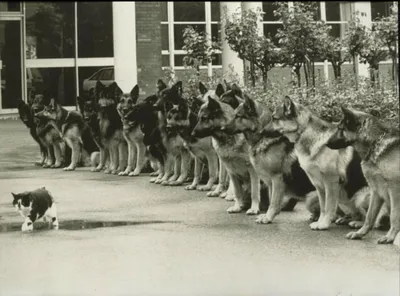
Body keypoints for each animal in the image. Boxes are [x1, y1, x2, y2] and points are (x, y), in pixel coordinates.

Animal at [192, 83, 264, 215]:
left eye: (204, 118)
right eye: (199, 118)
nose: (192, 134)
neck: (227, 137)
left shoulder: (253, 171)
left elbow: (255, 191)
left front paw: (254, 208)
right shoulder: (230, 170)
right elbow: (236, 191)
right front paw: (237, 206)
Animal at [222, 93, 316, 223]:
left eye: (238, 116)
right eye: (233, 115)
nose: (221, 128)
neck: (261, 138)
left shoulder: (277, 179)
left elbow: (273, 202)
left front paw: (267, 217)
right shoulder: (270, 181)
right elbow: (271, 200)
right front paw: (267, 215)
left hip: (311, 197)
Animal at [266, 96, 368, 230]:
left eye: (274, 118)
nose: (260, 131)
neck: (304, 131)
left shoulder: (331, 182)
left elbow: (329, 206)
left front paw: (324, 224)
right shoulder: (320, 186)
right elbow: (323, 208)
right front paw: (320, 222)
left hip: (360, 197)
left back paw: (359, 224)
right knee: (355, 214)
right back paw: (346, 219)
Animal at [326, 107, 398, 244]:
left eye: (340, 129)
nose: (325, 144)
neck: (375, 144)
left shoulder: (394, 190)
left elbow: (394, 216)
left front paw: (390, 237)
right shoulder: (376, 190)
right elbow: (370, 217)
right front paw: (360, 234)